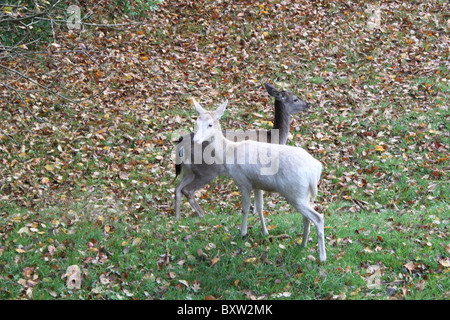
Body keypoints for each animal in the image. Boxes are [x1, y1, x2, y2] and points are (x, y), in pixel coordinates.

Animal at [192, 99, 326, 262]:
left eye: (210, 124)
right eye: (197, 122)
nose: (196, 140)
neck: (228, 154)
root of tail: (315, 170)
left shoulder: (243, 181)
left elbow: (245, 208)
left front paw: (242, 233)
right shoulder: (257, 184)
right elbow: (260, 208)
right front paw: (265, 232)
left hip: (295, 193)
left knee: (318, 218)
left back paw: (322, 257)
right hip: (306, 195)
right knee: (307, 218)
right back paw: (303, 244)